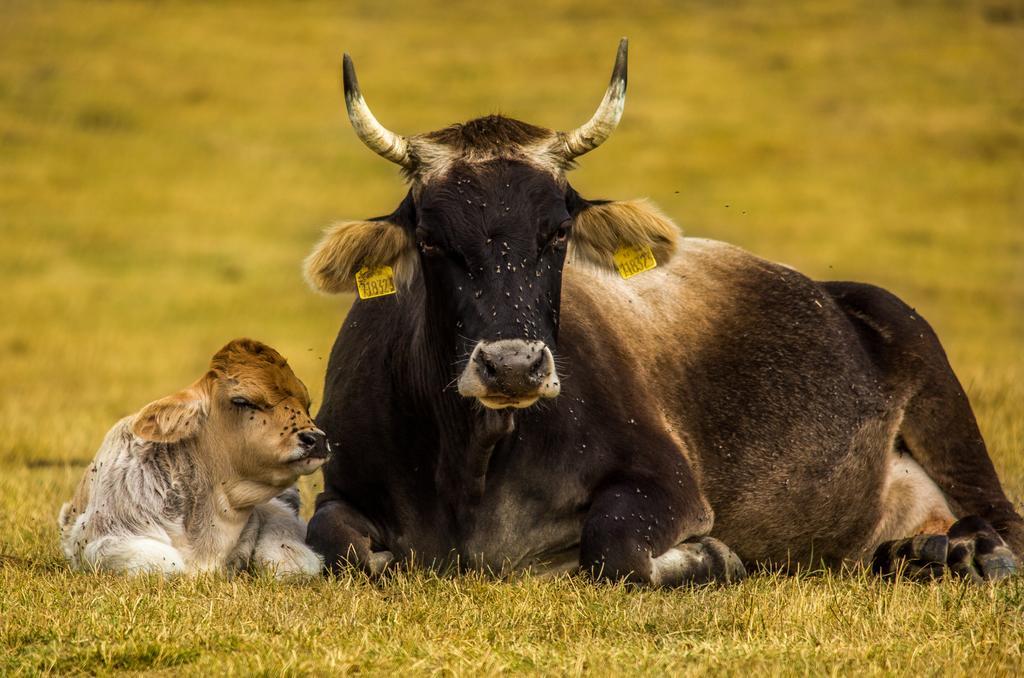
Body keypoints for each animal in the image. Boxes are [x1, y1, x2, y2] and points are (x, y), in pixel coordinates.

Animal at [305, 39, 1024, 585]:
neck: (476, 462)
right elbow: (337, 546)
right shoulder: (338, 485)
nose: (512, 367)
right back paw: (927, 550)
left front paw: (712, 556)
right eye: (430, 239)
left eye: (558, 232)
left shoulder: (669, 484)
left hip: (947, 407)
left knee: (1005, 522)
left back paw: (973, 555)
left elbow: (614, 549)